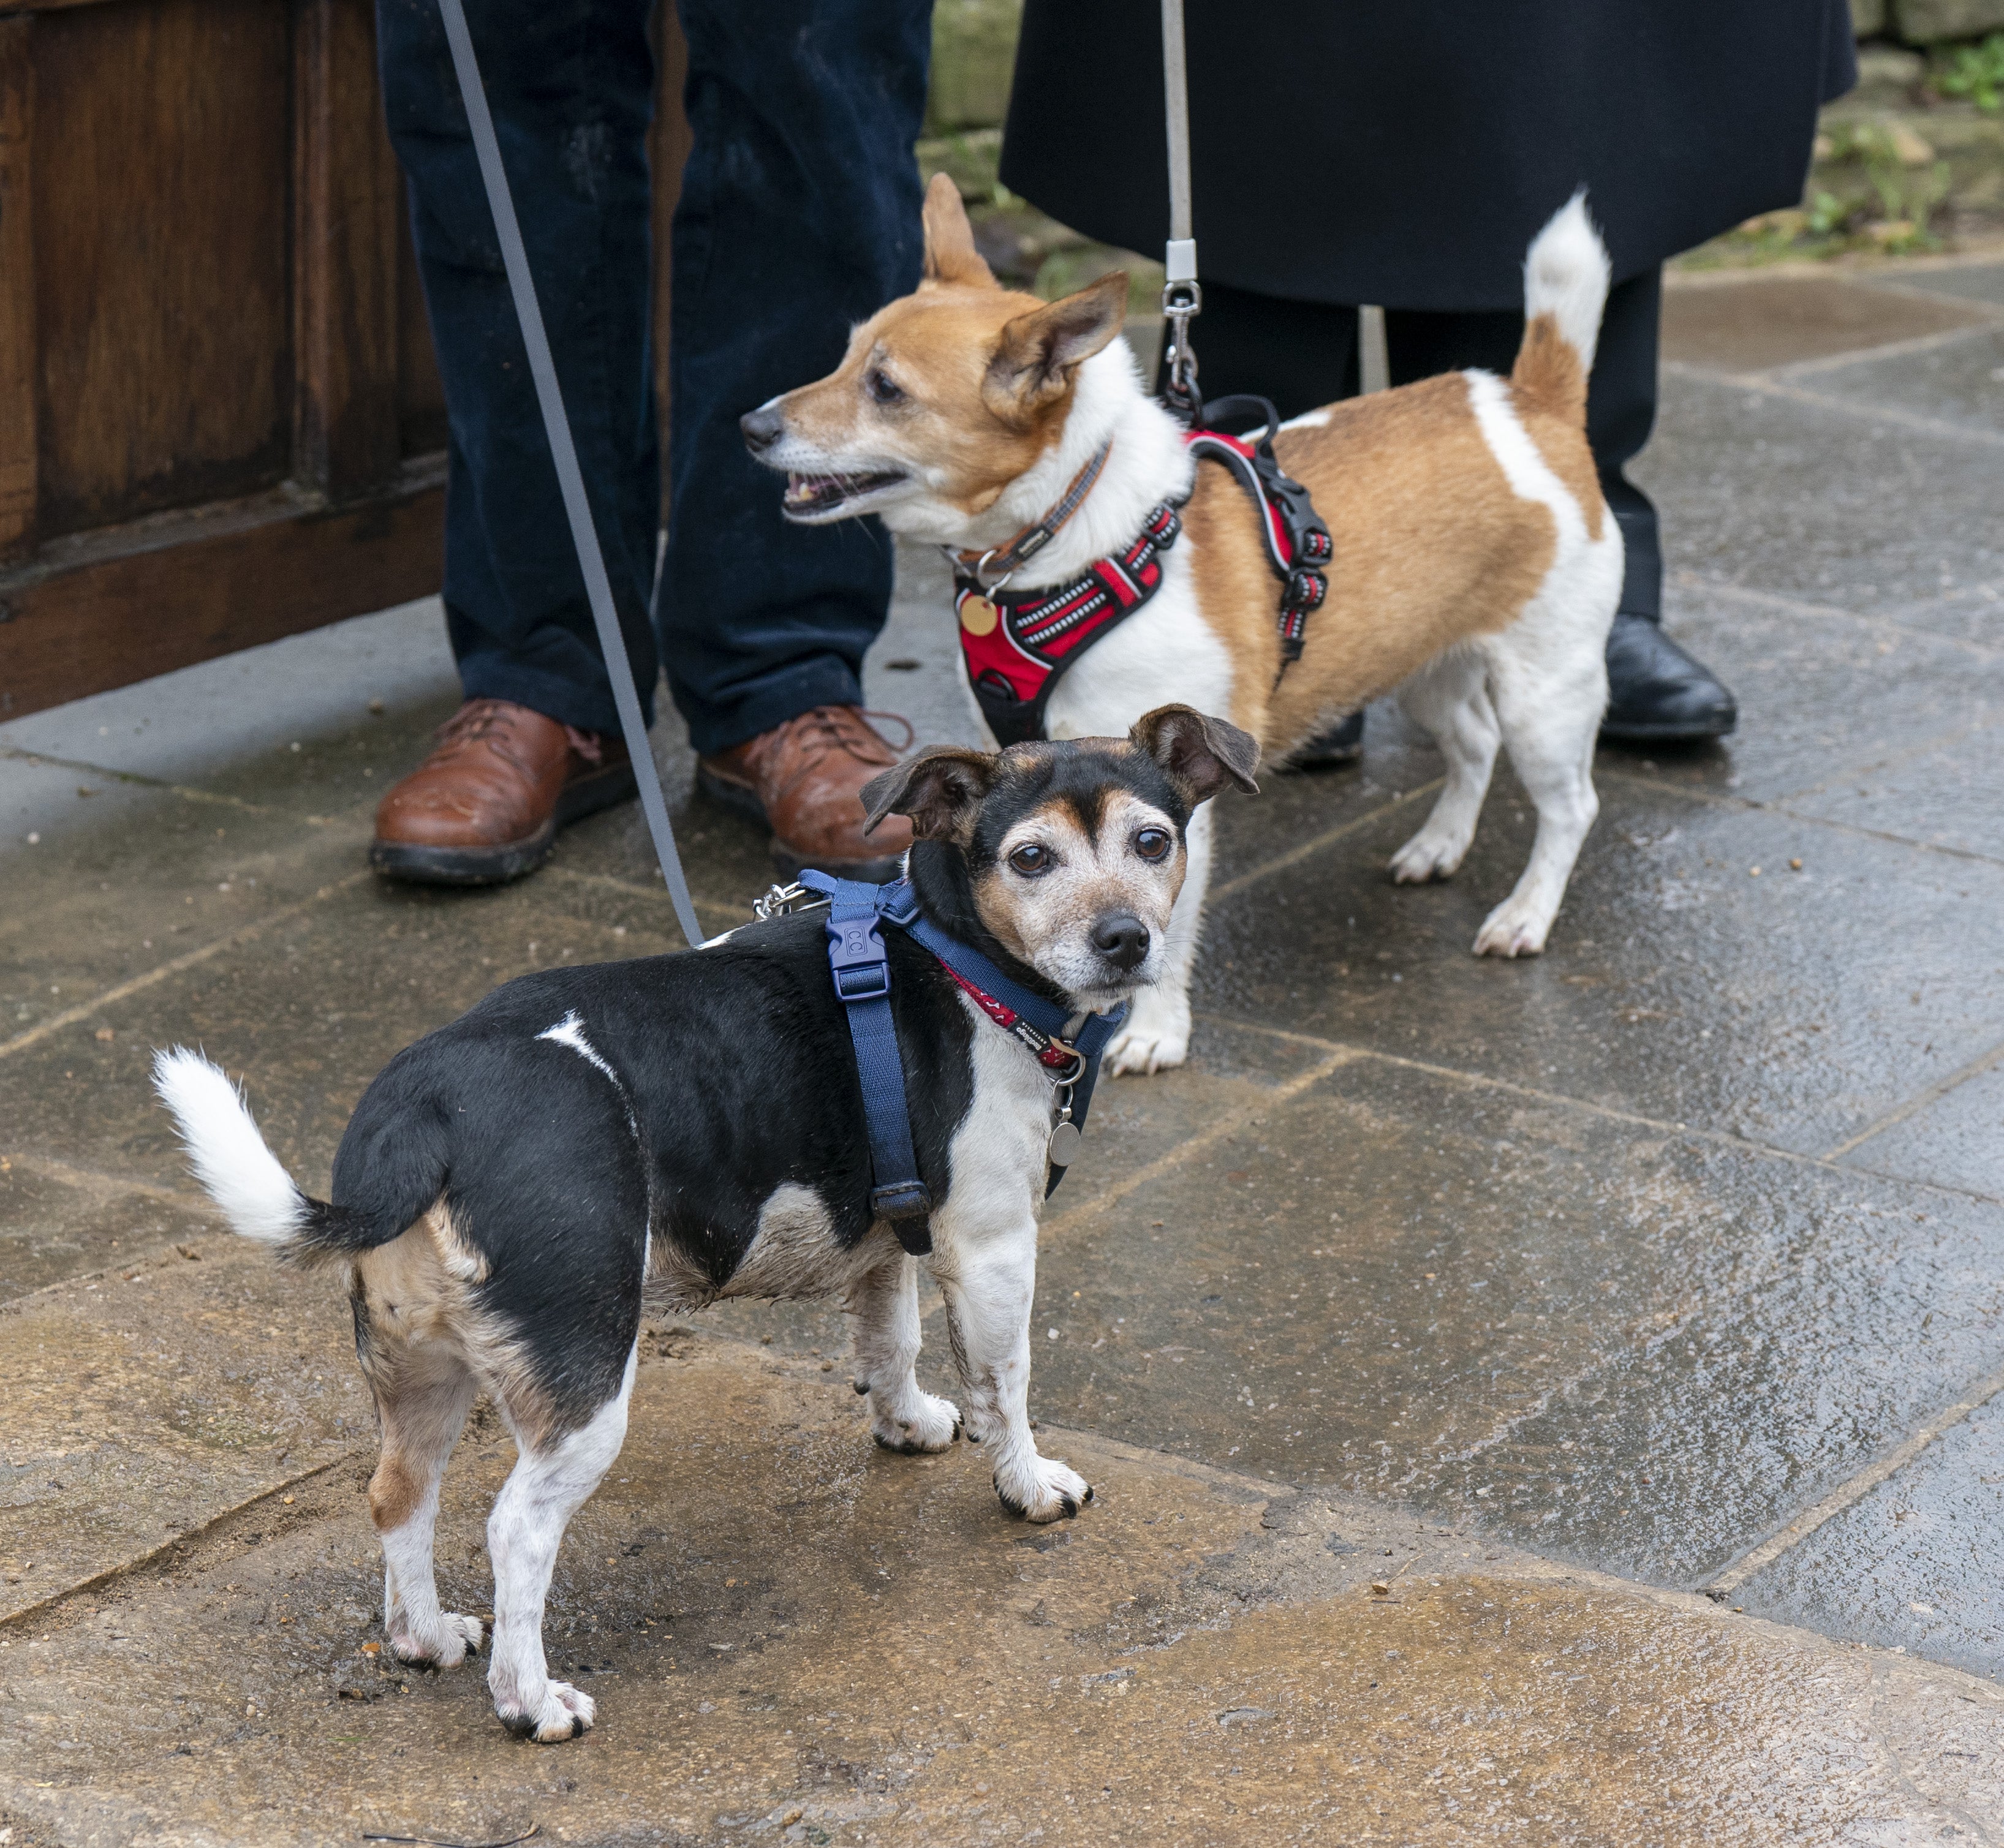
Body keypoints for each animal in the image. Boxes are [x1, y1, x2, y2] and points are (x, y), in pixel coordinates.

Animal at [152, 697, 1250, 1740]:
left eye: (1152, 841)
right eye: (1030, 858)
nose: (1125, 941)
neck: (953, 953)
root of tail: (428, 1109)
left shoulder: (886, 1236)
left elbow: (888, 1342)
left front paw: (904, 1423)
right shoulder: (989, 1248)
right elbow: (1005, 1382)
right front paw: (1027, 1484)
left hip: (418, 1364)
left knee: (398, 1492)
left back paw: (424, 1636)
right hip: (585, 1372)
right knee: (515, 1529)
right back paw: (531, 1701)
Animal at [745, 176, 1619, 1066]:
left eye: (886, 389)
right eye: (847, 357)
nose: (751, 427)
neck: (1075, 533)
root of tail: (1529, 403)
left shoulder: (1166, 797)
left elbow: (1161, 917)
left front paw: (1153, 1031)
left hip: (1545, 693)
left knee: (1568, 806)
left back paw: (1524, 914)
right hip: (1419, 662)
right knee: (1473, 743)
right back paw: (1439, 845)